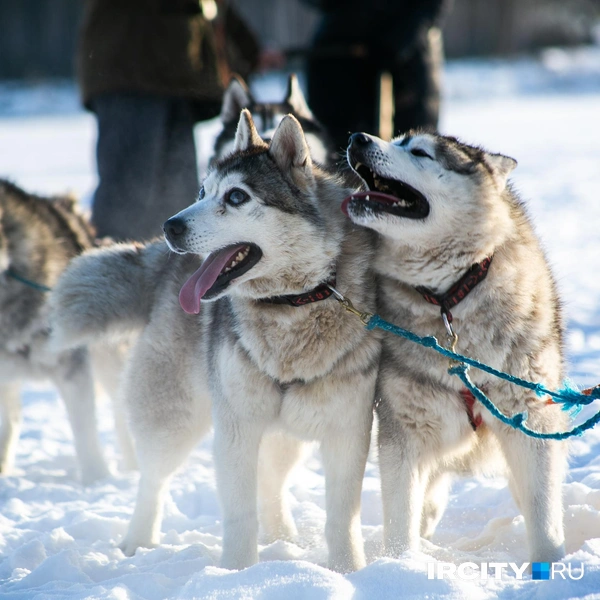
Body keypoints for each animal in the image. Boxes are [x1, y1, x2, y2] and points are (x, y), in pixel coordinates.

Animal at [50, 109, 380, 572]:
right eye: (203, 192)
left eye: (237, 196)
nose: (170, 225)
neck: (293, 304)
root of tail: (163, 263)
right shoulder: (236, 428)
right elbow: (240, 513)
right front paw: (238, 572)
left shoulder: (347, 430)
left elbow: (342, 517)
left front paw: (347, 570)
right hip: (175, 417)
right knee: (153, 480)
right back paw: (138, 541)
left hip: (286, 432)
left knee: (272, 480)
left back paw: (284, 538)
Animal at [342, 129, 568, 564]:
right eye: (397, 140)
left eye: (419, 151)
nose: (358, 137)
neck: (450, 296)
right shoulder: (404, 431)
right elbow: (402, 516)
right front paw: (401, 566)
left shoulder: (530, 424)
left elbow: (544, 513)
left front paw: (552, 565)